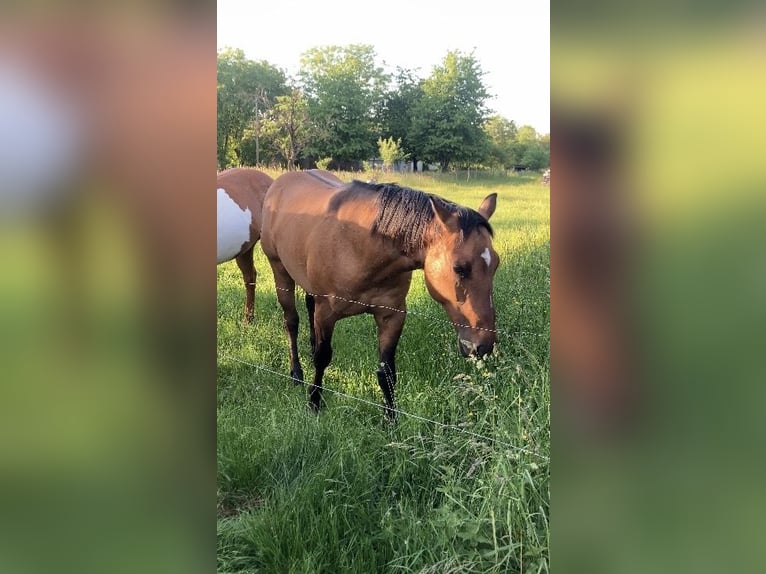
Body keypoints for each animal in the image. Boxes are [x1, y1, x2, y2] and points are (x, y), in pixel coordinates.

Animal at [260, 169, 499, 418]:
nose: (483, 346)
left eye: (496, 264)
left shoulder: (392, 315)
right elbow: (322, 358)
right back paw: (296, 373)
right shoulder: (326, 314)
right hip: (280, 271)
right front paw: (314, 402)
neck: (360, 244)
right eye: (460, 268)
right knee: (291, 322)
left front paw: (390, 417)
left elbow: (387, 372)